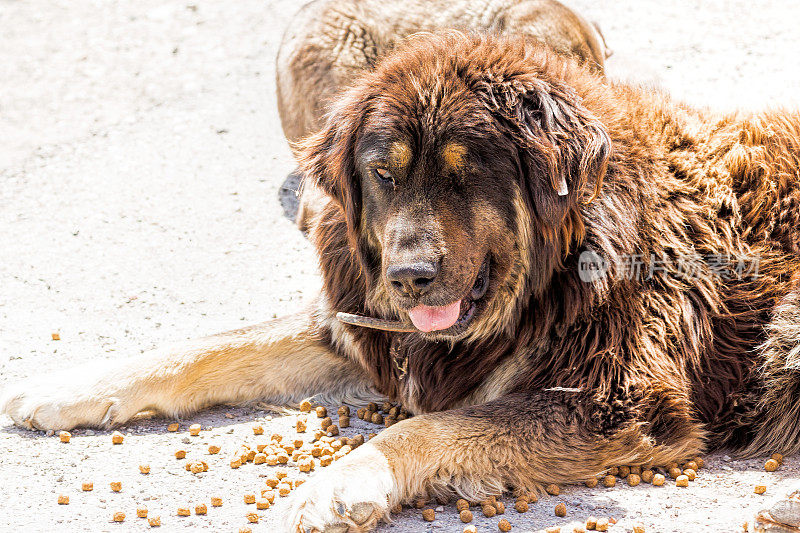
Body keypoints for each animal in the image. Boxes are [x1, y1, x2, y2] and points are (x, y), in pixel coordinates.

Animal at [1, 29, 800, 533]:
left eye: (466, 176)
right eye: (383, 175)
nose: (410, 274)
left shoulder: (614, 402)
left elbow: (433, 425)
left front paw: (340, 481)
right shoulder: (360, 324)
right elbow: (209, 347)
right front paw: (69, 385)